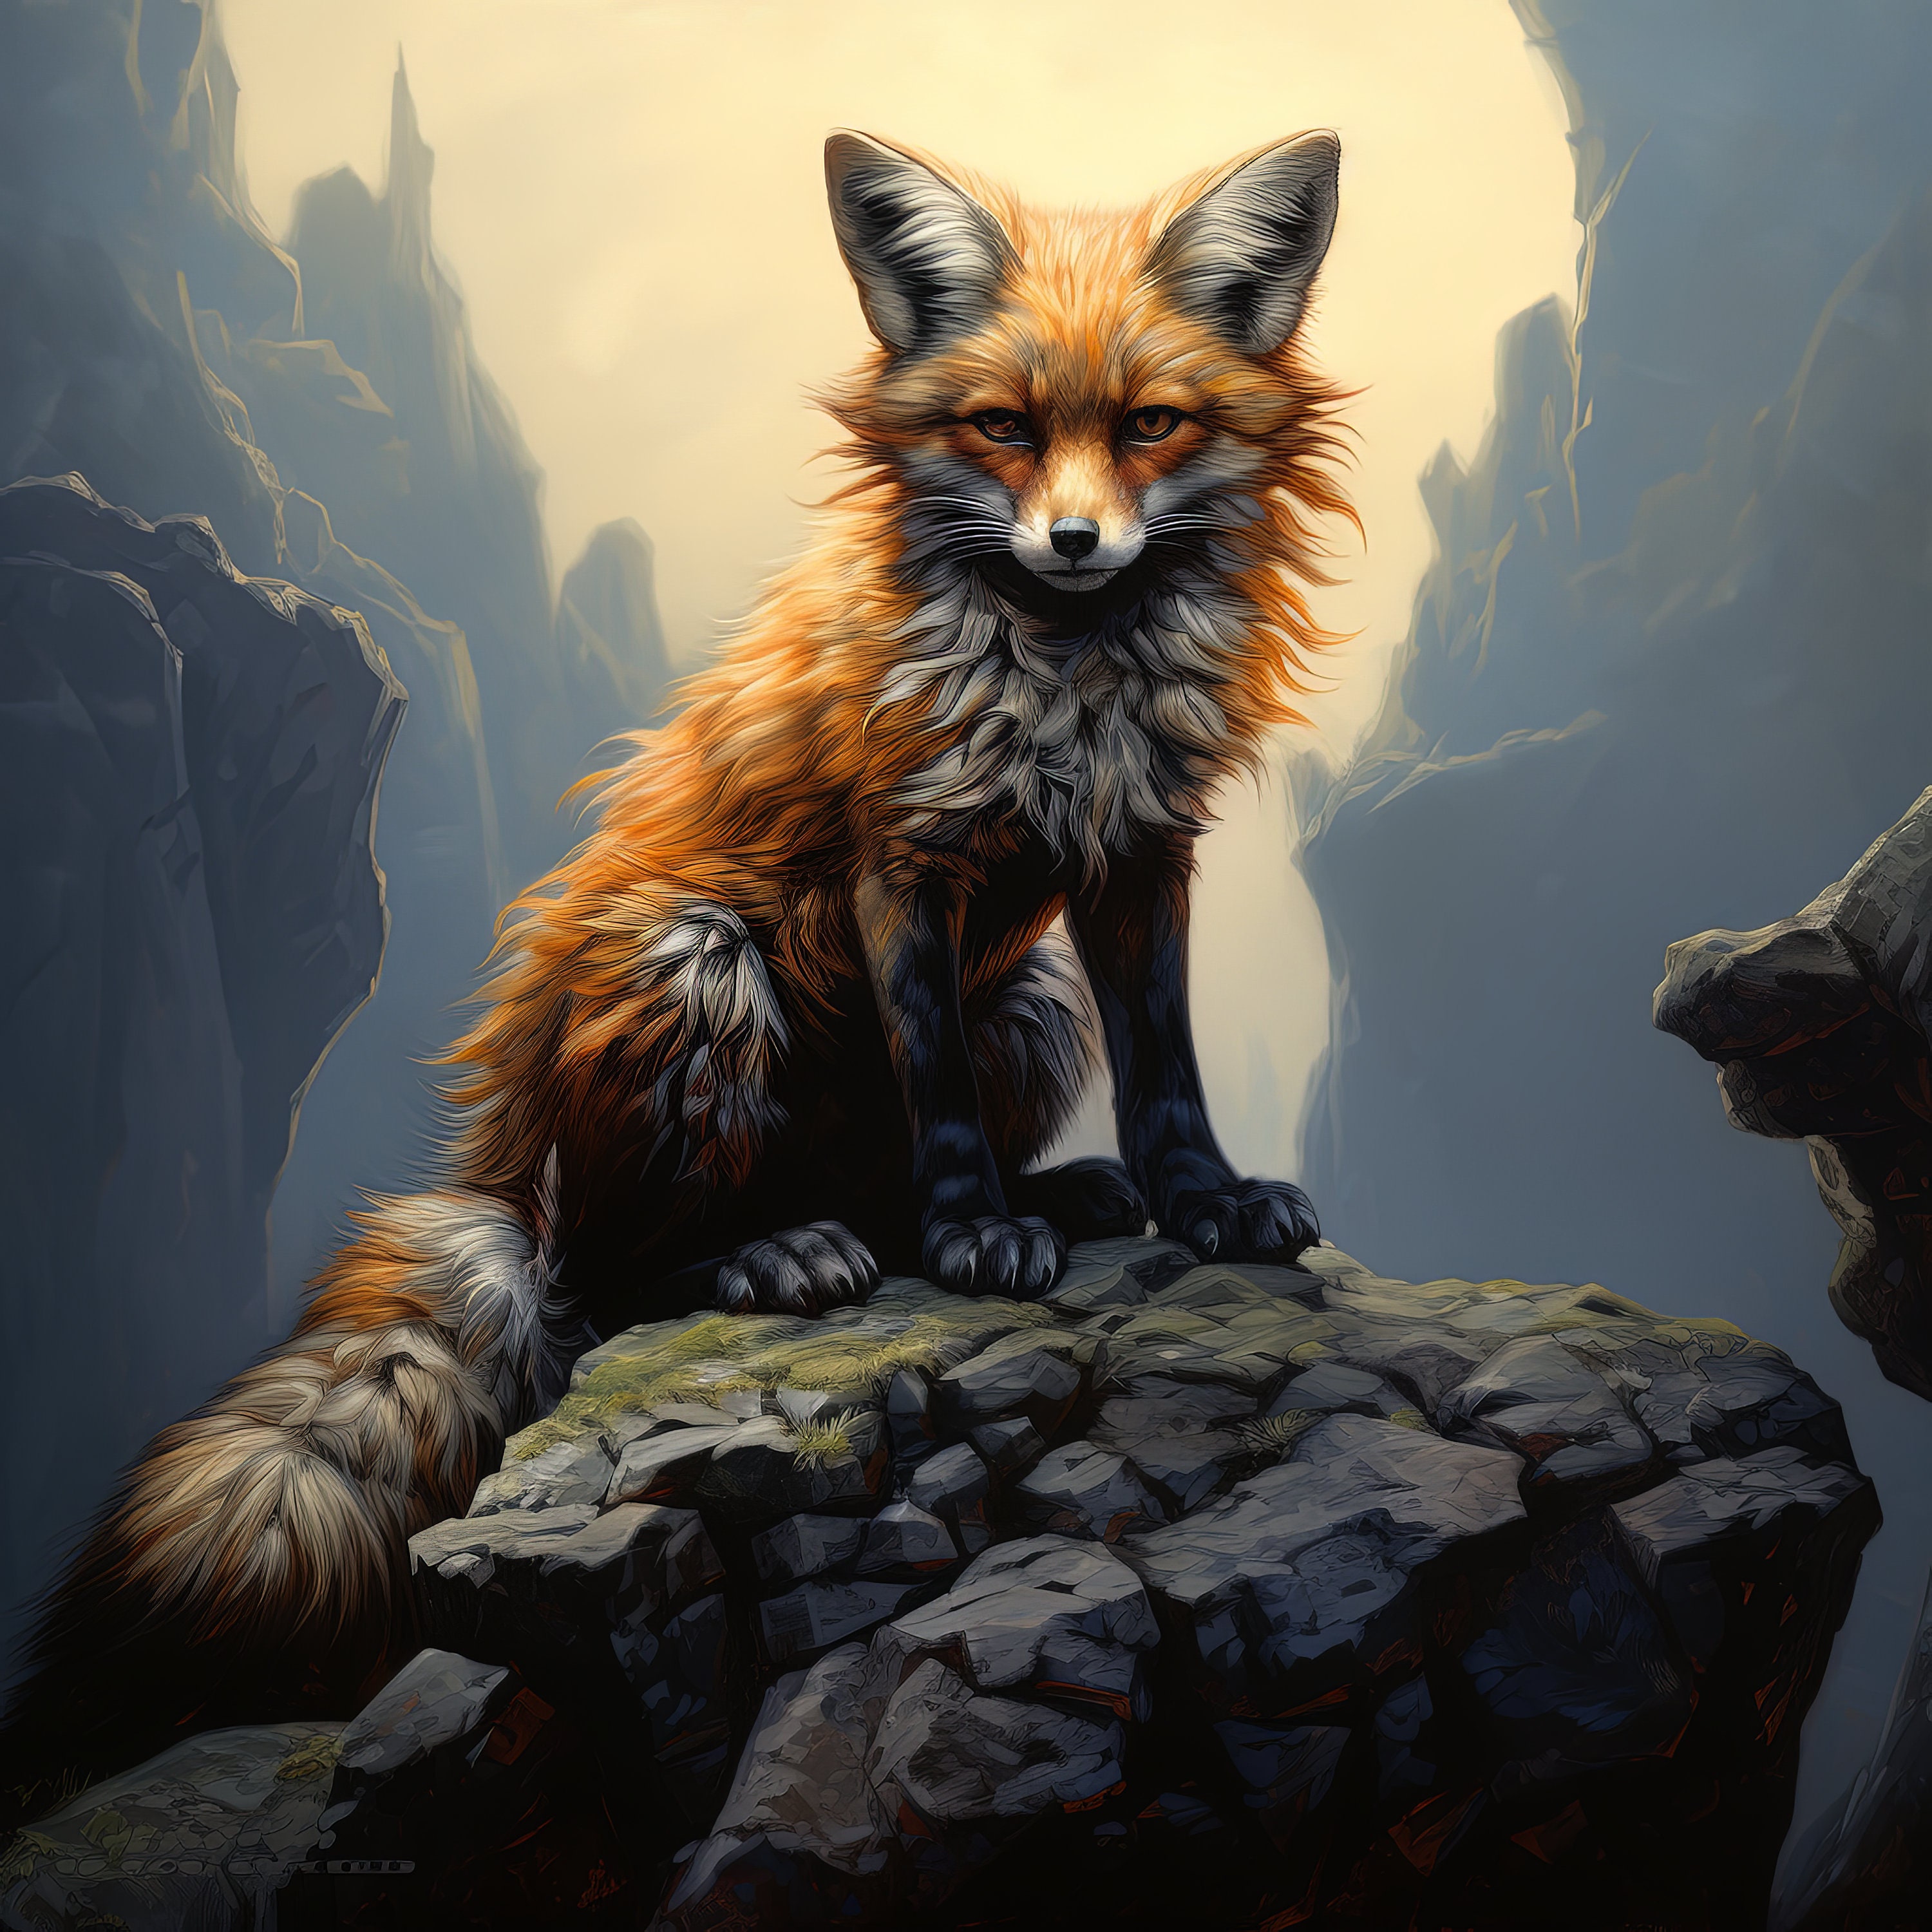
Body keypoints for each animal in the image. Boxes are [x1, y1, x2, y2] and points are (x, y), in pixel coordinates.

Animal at [1, 128, 1352, 1809]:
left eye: (1152, 424)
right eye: (1002, 428)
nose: (1075, 539)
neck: (1059, 669)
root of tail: (500, 1167)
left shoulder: (1135, 853)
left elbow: (1168, 1077)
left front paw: (1202, 1203)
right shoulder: (898, 859)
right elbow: (939, 1104)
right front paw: (979, 1231)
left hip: (1028, 1003)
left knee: (856, 1192)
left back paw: (1035, 1198)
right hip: (695, 962)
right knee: (605, 1283)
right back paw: (773, 1256)